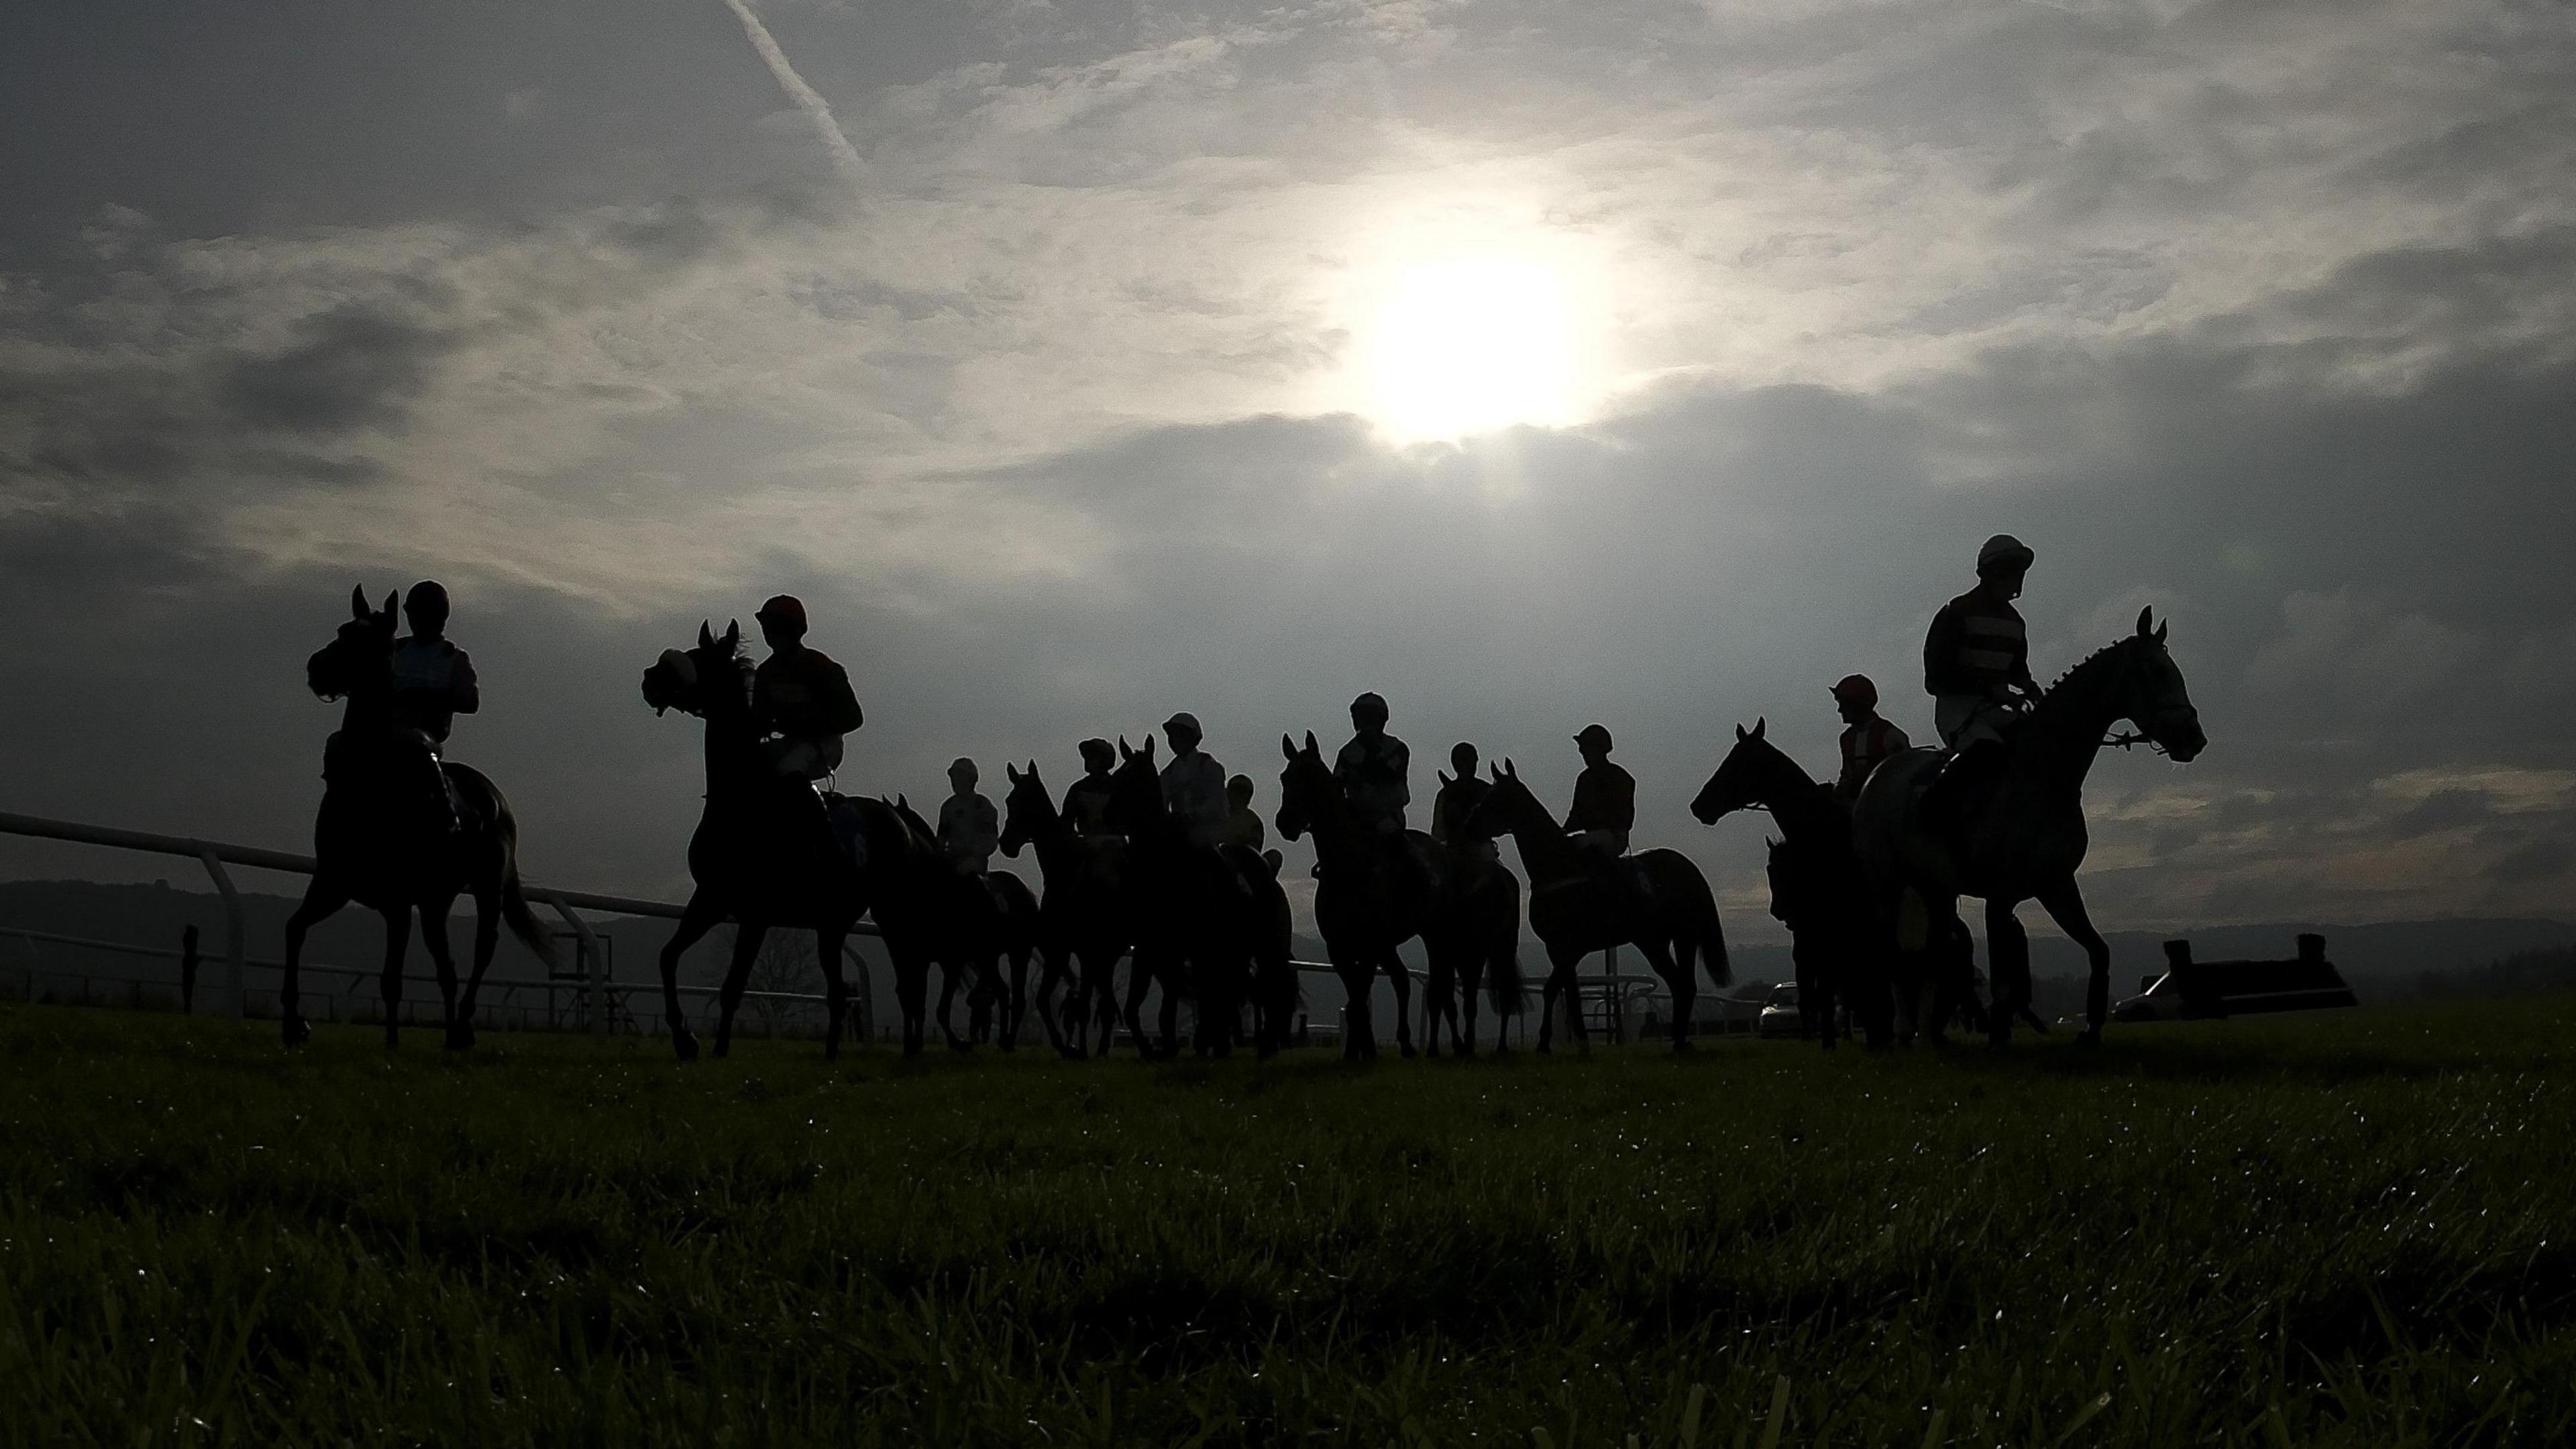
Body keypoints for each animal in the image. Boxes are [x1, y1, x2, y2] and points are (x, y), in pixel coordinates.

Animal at [282, 580, 559, 1041]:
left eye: (375, 642)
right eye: (343, 630)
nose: (317, 668)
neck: (369, 787)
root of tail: (496, 800)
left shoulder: (397, 901)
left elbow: (391, 979)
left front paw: (393, 1043)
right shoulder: (334, 883)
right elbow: (295, 929)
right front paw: (293, 1022)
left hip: (487, 887)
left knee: (483, 949)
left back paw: (463, 1026)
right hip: (436, 901)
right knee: (446, 965)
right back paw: (451, 1034)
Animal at [641, 613, 875, 1057]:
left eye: (701, 660)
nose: (649, 679)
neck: (741, 798)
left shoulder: (756, 913)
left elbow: (733, 987)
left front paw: (718, 1050)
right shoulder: (711, 897)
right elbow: (667, 956)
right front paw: (684, 1038)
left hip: (834, 922)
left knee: (839, 993)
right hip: (827, 926)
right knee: (838, 993)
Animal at [999, 763, 1133, 1057]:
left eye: (1026, 800)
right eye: (1009, 800)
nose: (1006, 844)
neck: (1065, 872)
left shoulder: (1081, 952)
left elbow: (1078, 1005)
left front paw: (1075, 1049)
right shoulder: (1063, 952)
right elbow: (1048, 1000)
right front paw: (1070, 1047)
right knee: (1107, 1002)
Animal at [1473, 757, 1731, 1046]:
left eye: (1496, 797)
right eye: (1487, 794)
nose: (1470, 823)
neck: (1558, 868)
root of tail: (1689, 868)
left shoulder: (1571, 946)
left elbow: (1555, 989)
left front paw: (1550, 1043)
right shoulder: (1557, 947)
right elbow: (1565, 993)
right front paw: (1573, 1043)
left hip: (1682, 935)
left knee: (1683, 984)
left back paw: (1679, 1041)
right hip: (1658, 940)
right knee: (1681, 984)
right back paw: (1679, 1041)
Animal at [1865, 603, 2205, 1041]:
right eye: (2159, 672)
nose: (2194, 738)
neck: (2042, 778)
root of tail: (1877, 775)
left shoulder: (2056, 885)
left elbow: (2099, 952)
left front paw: (2091, 1031)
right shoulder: (2000, 897)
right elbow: (2003, 983)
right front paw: (1998, 1038)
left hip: (1934, 890)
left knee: (1933, 956)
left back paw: (1927, 1034)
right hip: (1887, 886)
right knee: (1891, 955)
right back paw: (1903, 1031)